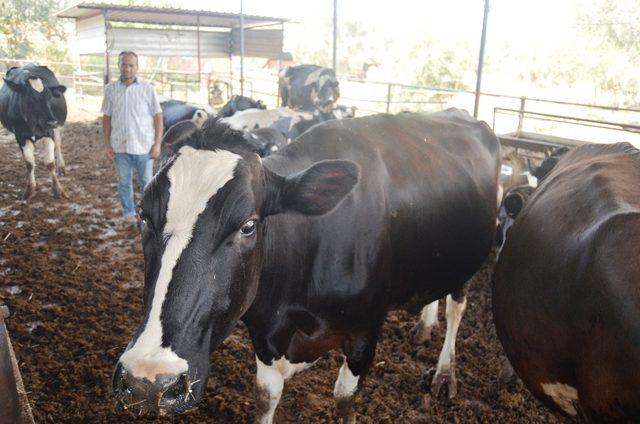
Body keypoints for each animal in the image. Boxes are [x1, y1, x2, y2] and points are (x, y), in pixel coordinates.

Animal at [0, 64, 68, 200]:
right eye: (31, 98)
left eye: (50, 97)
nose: (52, 122)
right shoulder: (20, 136)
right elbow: (29, 163)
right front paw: (30, 189)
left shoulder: (49, 133)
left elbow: (50, 163)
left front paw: (58, 190)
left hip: (58, 127)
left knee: (58, 145)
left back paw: (61, 167)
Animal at [110, 108, 500, 420]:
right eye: (144, 217)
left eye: (248, 225)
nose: (148, 382)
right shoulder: (264, 335)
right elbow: (266, 398)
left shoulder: (365, 331)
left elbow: (343, 399)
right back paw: (424, 325)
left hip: (470, 256)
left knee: (457, 307)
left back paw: (444, 372)